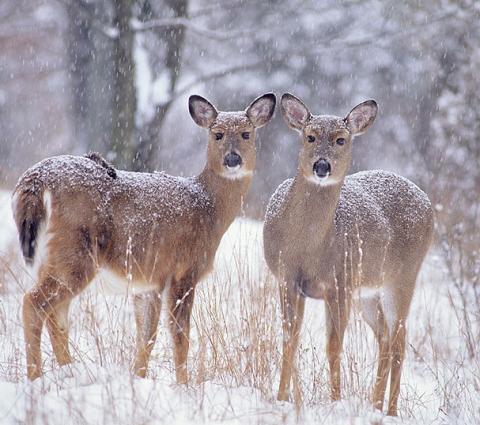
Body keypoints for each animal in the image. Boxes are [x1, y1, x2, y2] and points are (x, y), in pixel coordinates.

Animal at [11, 92, 276, 380]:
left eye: (246, 133)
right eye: (217, 134)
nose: (232, 159)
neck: (208, 208)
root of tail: (35, 180)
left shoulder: (148, 282)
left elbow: (146, 337)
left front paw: (138, 378)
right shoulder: (183, 270)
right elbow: (180, 335)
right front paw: (184, 384)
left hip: (52, 259)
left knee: (56, 317)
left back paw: (69, 372)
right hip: (73, 253)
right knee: (33, 304)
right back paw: (36, 377)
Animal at [262, 93, 436, 414]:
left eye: (341, 139)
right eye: (310, 136)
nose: (321, 166)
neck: (306, 247)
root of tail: (426, 201)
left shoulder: (338, 283)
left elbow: (334, 345)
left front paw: (335, 402)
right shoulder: (287, 279)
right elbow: (289, 338)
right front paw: (281, 397)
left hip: (404, 276)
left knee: (399, 339)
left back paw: (390, 411)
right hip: (368, 290)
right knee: (385, 337)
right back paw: (375, 405)